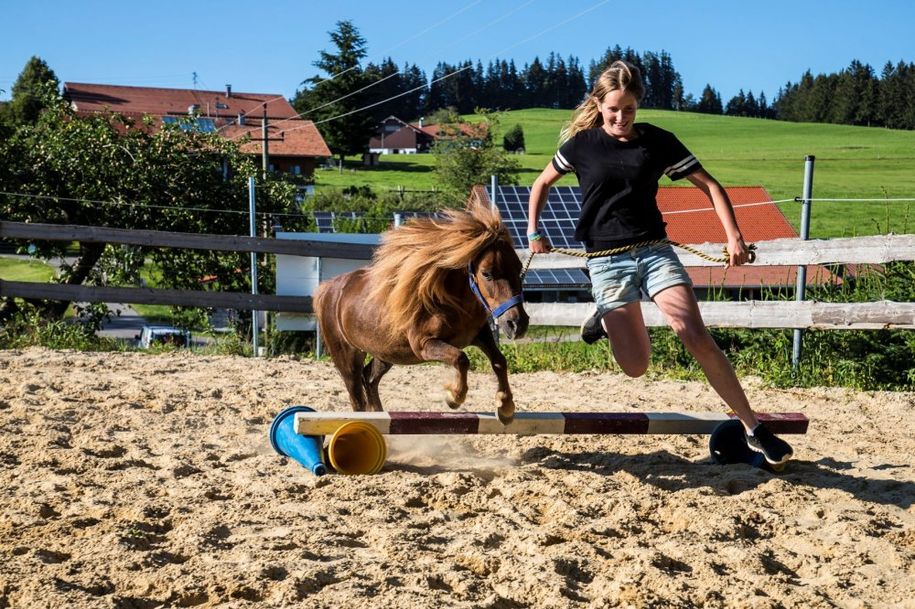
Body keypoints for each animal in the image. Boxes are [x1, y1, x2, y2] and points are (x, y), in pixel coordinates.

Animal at [314, 200, 528, 422]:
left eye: (519, 268)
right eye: (486, 273)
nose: (517, 324)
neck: (452, 301)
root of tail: (328, 288)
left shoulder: (479, 335)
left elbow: (499, 360)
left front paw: (505, 406)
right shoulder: (424, 344)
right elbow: (460, 358)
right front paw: (454, 396)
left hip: (385, 353)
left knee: (370, 378)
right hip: (348, 359)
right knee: (356, 395)